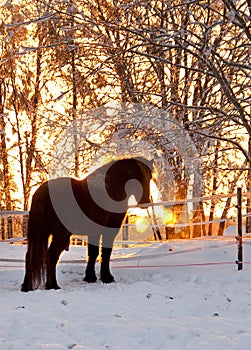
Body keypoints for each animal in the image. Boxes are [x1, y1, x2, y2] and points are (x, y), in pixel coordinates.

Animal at [21, 157, 154, 292]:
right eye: (147, 177)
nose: (146, 202)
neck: (111, 188)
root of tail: (41, 193)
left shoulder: (94, 232)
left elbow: (93, 253)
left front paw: (90, 277)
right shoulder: (109, 230)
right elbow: (105, 252)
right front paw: (107, 278)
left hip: (40, 233)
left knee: (29, 256)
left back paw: (26, 287)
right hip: (60, 235)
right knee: (51, 255)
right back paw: (53, 286)